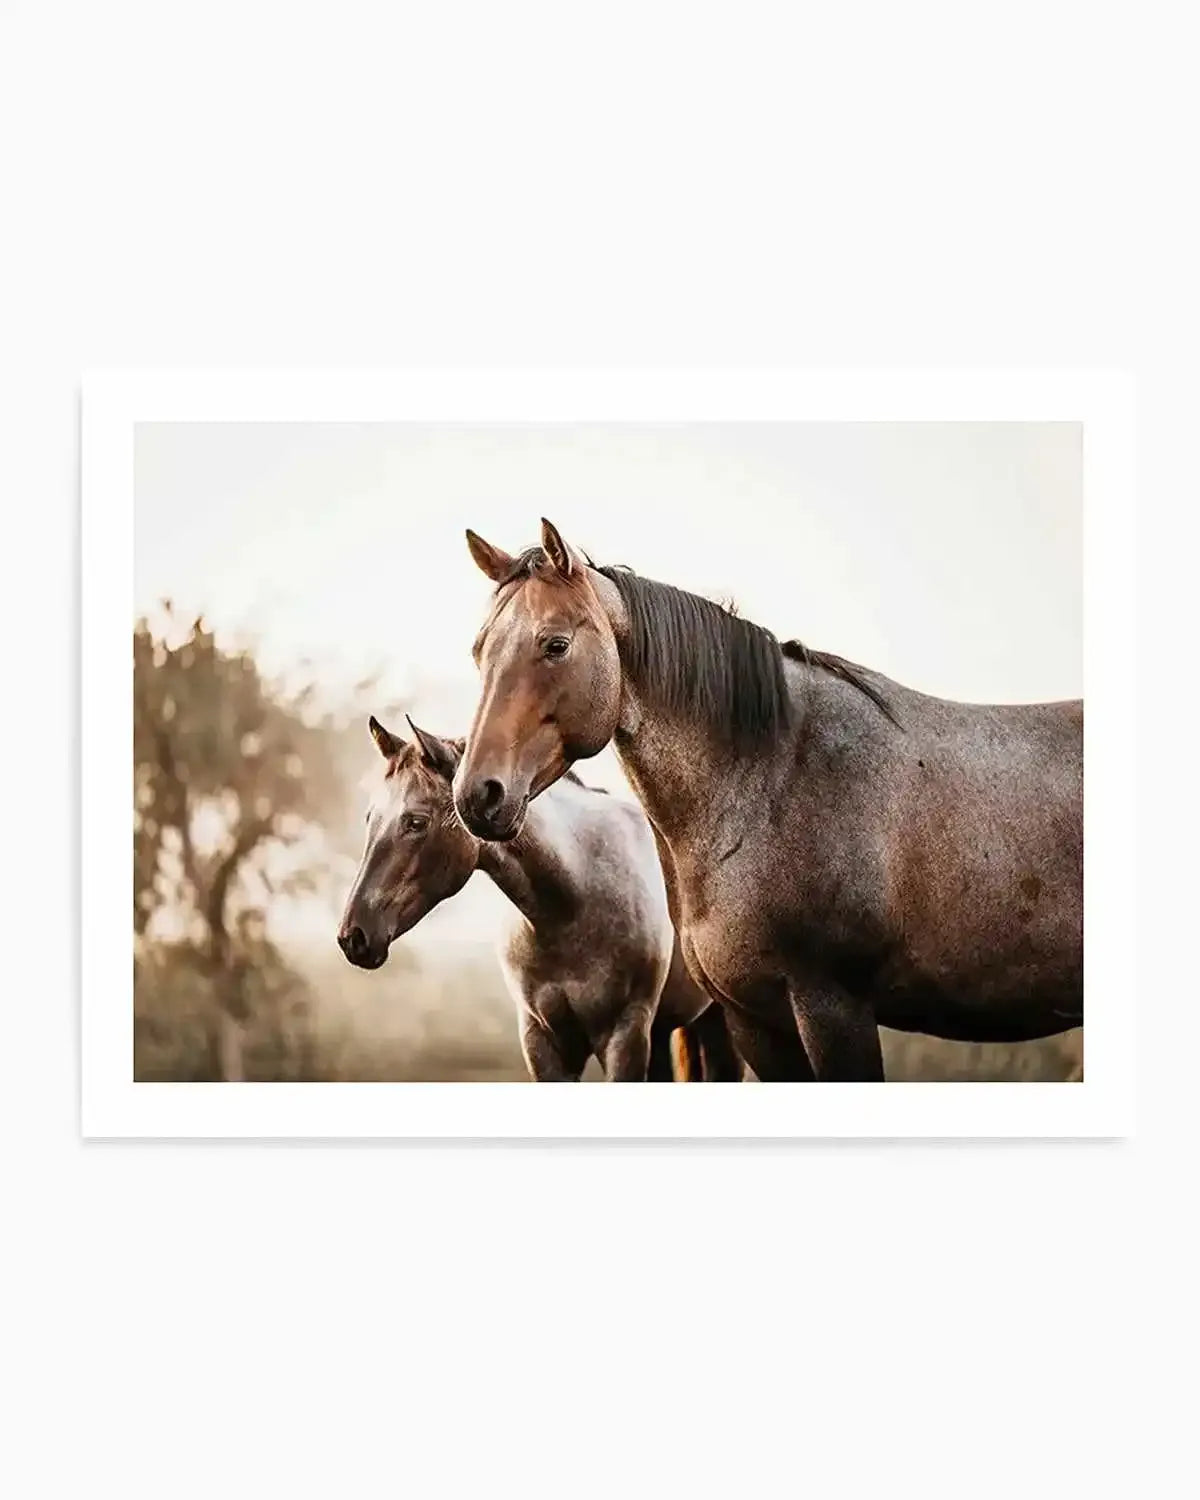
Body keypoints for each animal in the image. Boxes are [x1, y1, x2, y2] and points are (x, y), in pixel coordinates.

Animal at [337, 714, 742, 1082]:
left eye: (416, 822)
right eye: (370, 818)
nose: (353, 936)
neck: (572, 906)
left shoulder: (624, 1036)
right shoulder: (541, 1040)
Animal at [452, 518, 1083, 1082]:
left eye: (555, 645)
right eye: (479, 651)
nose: (477, 794)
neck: (772, 780)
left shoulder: (833, 1008)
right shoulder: (753, 1018)